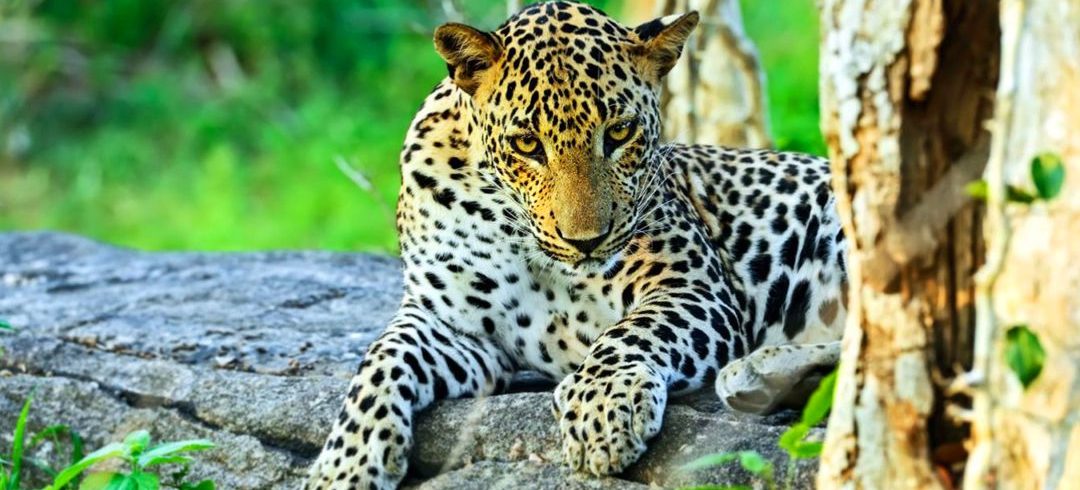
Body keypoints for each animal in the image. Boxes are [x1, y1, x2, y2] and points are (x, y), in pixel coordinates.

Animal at [304, 1, 842, 487]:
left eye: (620, 132)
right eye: (526, 144)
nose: (587, 241)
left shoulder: (693, 286)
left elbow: (632, 332)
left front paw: (602, 408)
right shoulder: (452, 324)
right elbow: (380, 359)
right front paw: (345, 464)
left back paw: (753, 375)